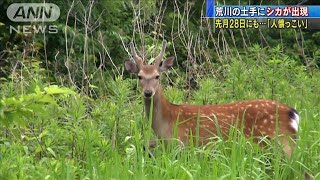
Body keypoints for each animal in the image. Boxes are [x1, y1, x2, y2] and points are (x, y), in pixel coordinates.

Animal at [125, 40, 316, 179]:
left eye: (157, 76)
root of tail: (292, 113)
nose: (148, 93)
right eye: (139, 76)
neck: (166, 122)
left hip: (280, 142)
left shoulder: (183, 146)